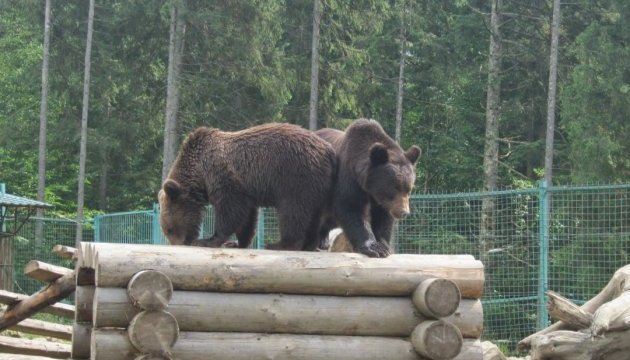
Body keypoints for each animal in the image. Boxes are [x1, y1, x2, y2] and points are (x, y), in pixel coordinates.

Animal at [160, 123, 338, 250]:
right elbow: (247, 218)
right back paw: (309, 244)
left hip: (296, 176)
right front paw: (236, 243)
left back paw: (280, 244)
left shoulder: (223, 178)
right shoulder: (246, 190)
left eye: (169, 229)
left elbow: (229, 211)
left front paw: (207, 240)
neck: (200, 175)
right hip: (316, 186)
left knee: (293, 211)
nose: (178, 244)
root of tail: (329, 151)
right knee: (313, 215)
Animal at [316, 119, 424, 258]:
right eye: (394, 188)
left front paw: (384, 245)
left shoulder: (381, 201)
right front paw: (374, 247)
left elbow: (383, 218)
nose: (404, 212)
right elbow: (352, 208)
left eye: (409, 189)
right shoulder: (349, 177)